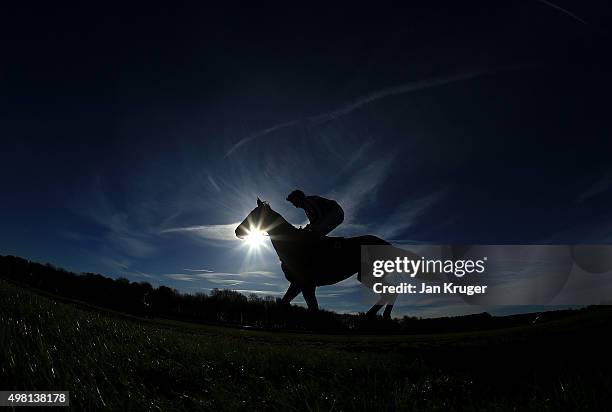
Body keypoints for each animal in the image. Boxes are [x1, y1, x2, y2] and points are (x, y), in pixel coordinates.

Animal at [234, 198, 396, 320]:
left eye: (254, 214)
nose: (237, 231)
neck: (291, 243)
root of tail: (388, 245)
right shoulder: (298, 283)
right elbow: (285, 303)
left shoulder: (307, 283)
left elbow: (313, 309)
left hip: (369, 275)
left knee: (390, 291)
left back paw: (377, 315)